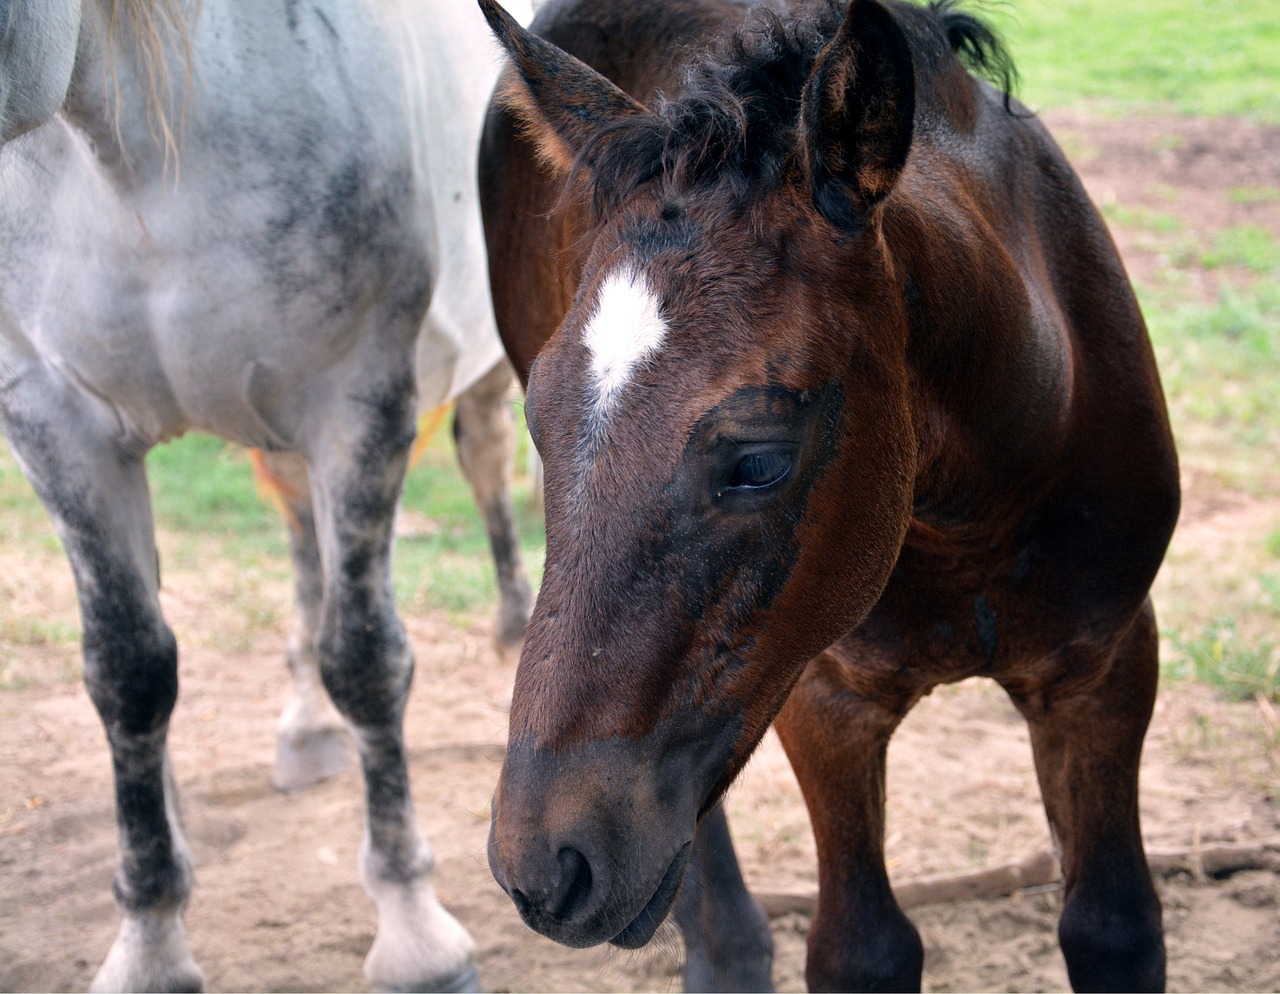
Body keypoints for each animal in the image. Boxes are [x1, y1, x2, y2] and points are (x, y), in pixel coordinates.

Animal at [0, 3, 529, 987]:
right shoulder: (56, 418)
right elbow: (128, 671)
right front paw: (151, 937)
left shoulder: (358, 404)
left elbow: (366, 660)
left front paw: (415, 934)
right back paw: (300, 728)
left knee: (485, 455)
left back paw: (515, 625)